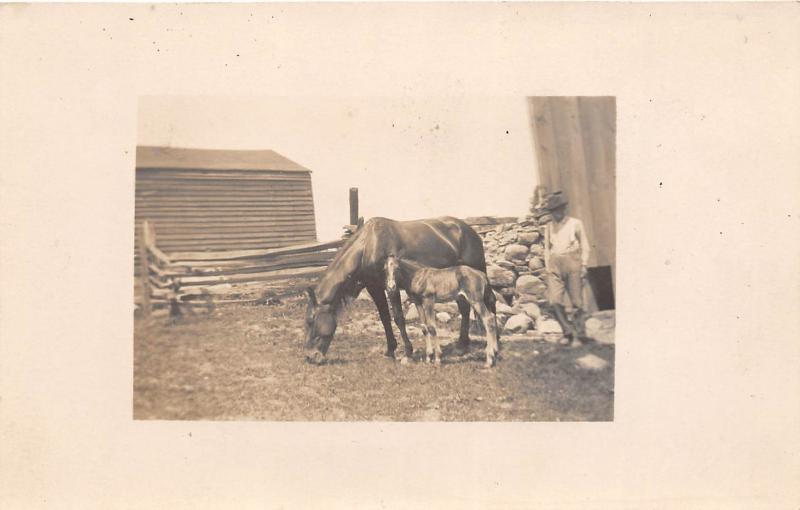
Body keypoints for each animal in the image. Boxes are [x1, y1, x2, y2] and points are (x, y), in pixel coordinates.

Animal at [304, 217, 494, 364]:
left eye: (311, 321)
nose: (309, 357)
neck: (368, 245)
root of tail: (470, 231)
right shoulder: (375, 288)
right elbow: (385, 318)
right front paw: (390, 350)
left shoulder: (392, 288)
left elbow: (398, 318)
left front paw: (408, 353)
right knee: (465, 308)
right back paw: (462, 345)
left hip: (477, 273)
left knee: (489, 302)